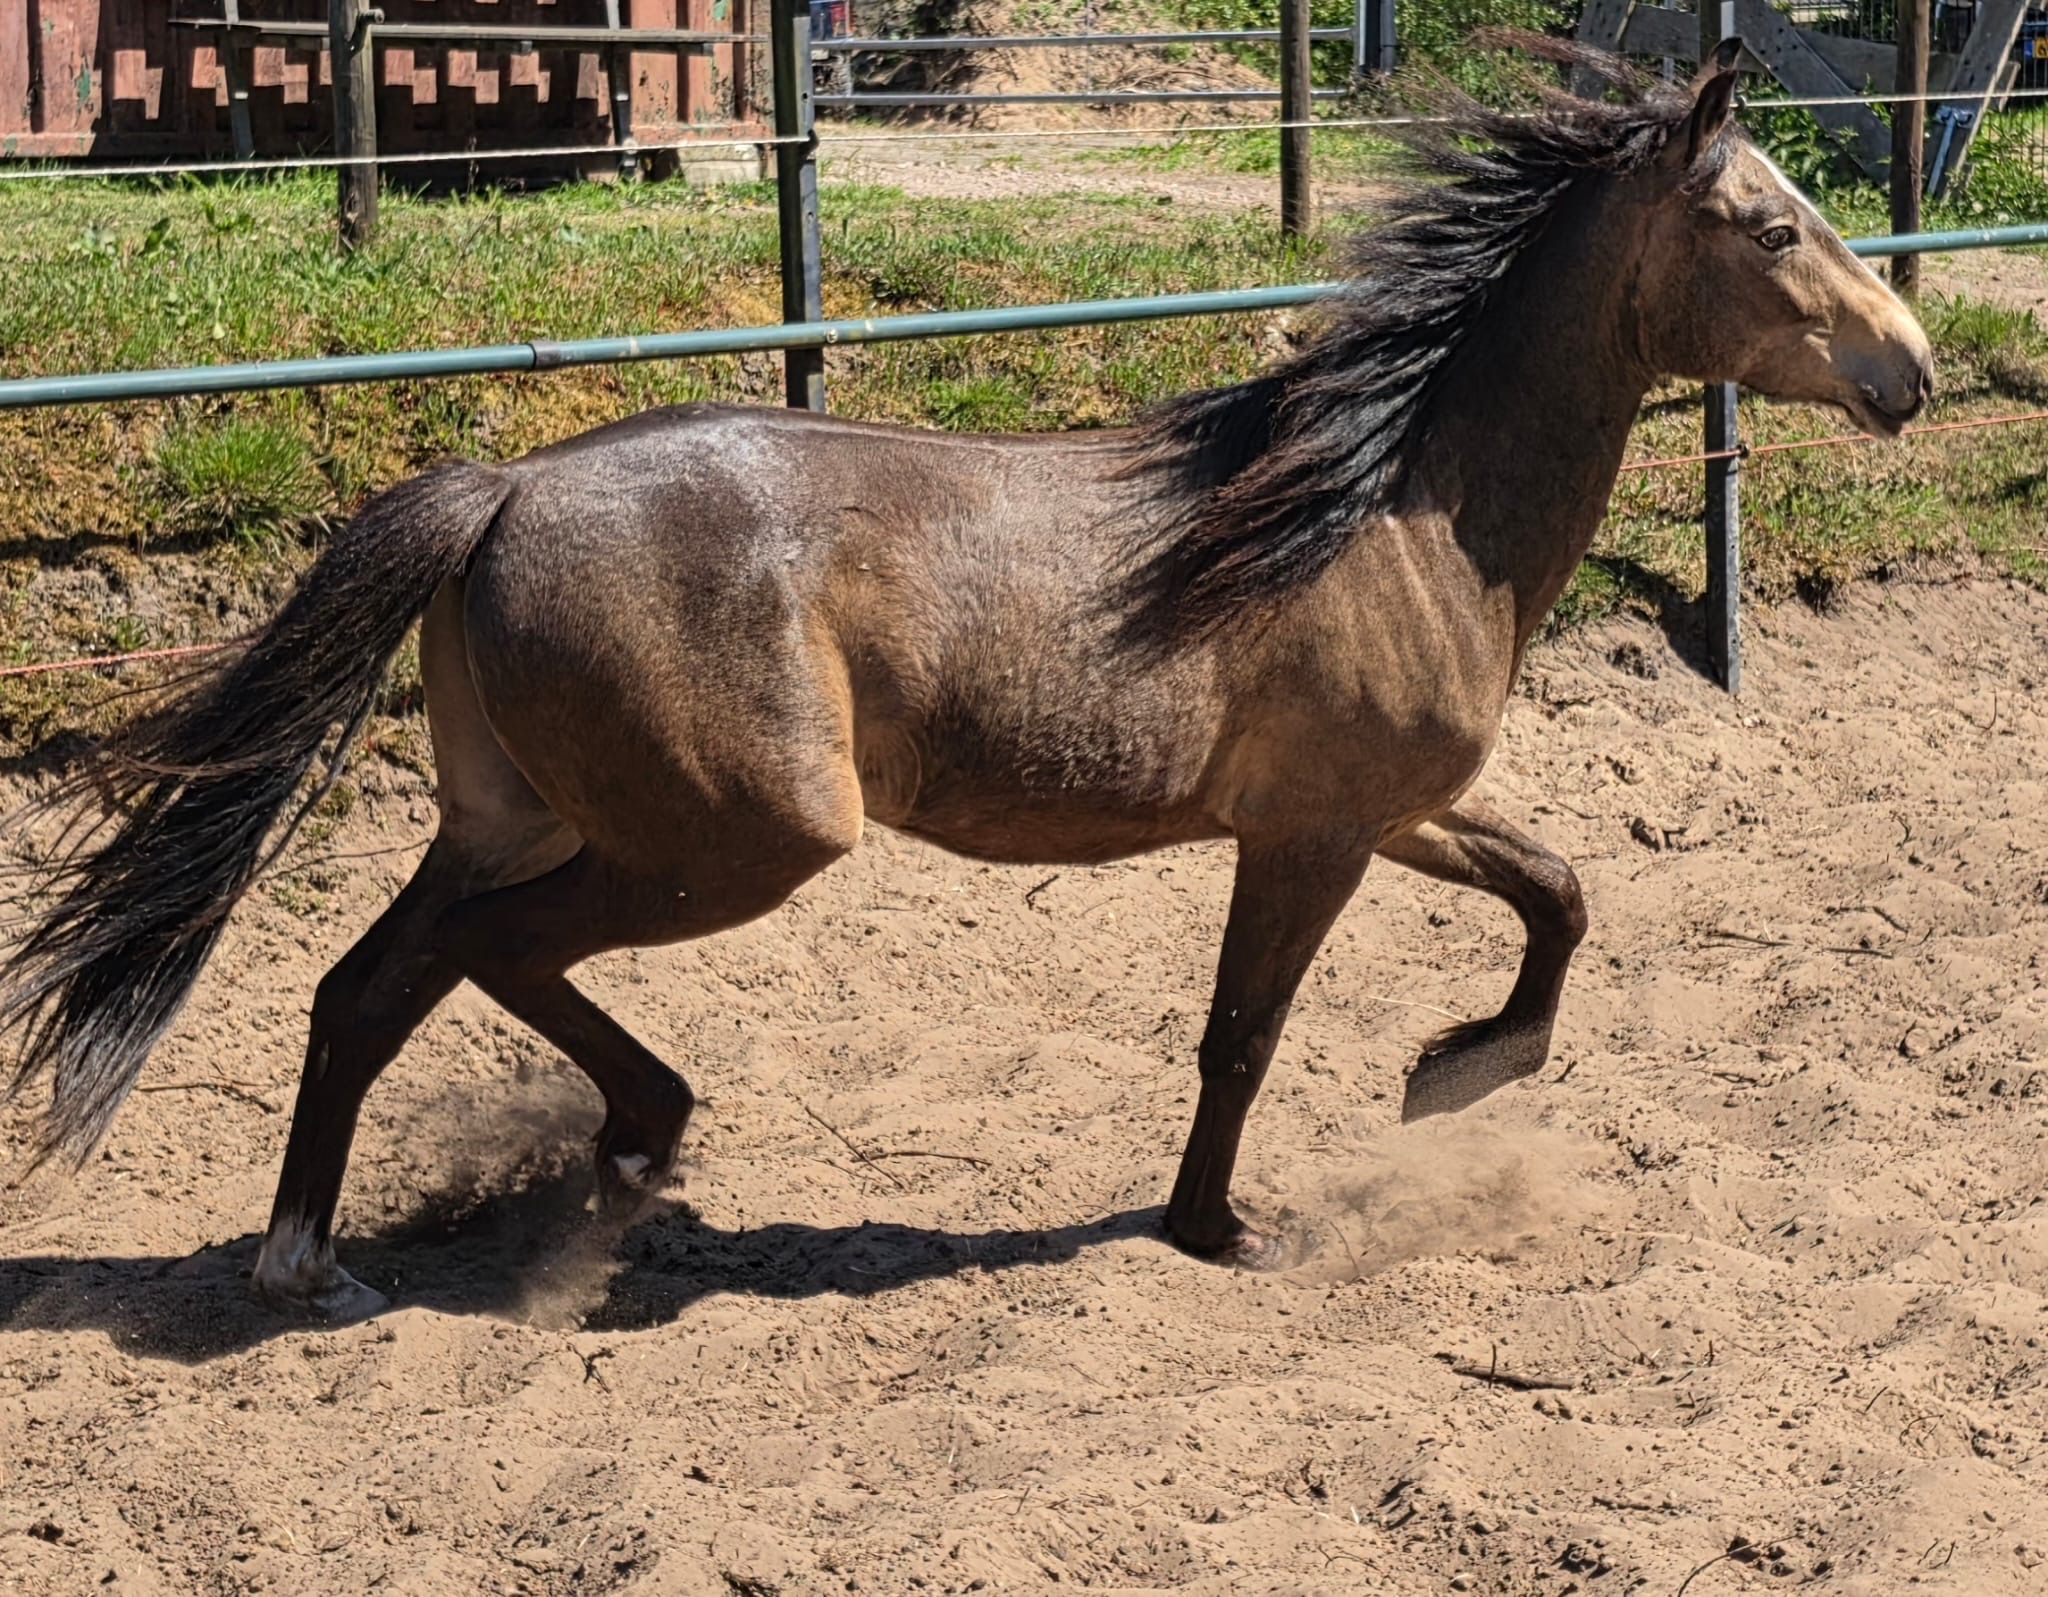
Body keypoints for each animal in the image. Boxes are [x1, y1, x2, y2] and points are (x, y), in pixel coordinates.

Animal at [1, 39, 1930, 1319]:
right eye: (1770, 226)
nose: (1906, 368)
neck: (1390, 510)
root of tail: (503, 491)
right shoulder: (1307, 834)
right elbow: (1242, 1032)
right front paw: (1220, 1225)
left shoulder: (1388, 807)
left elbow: (1560, 888)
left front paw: (1461, 1069)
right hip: (729, 842)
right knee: (471, 961)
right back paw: (608, 1150)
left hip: (516, 815)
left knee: (365, 984)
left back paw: (322, 1251)